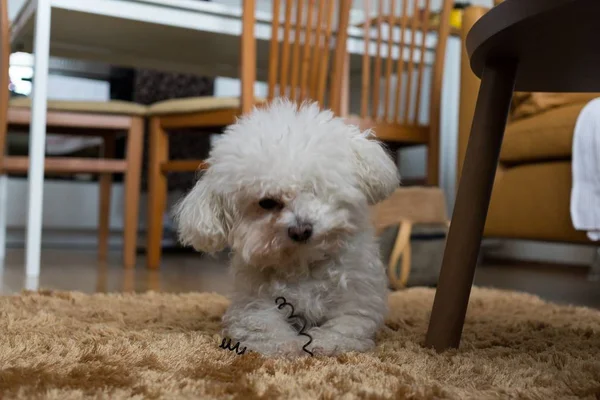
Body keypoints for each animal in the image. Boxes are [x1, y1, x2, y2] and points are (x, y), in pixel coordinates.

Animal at [175, 99, 398, 356]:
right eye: (267, 202)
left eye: (314, 187)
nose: (300, 230)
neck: (304, 264)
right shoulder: (251, 304)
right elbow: (266, 326)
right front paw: (289, 346)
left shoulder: (358, 299)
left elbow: (344, 327)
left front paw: (324, 343)